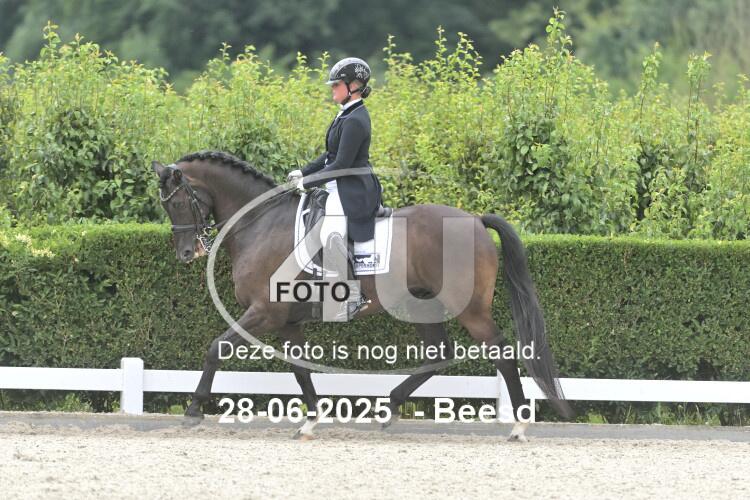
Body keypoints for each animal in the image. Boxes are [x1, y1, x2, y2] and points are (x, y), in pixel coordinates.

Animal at [152, 150, 574, 441]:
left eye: (178, 202)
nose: (187, 253)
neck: (261, 224)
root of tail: (474, 220)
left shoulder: (264, 313)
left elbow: (215, 348)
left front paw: (193, 409)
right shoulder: (286, 322)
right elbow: (300, 369)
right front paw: (311, 421)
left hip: (468, 309)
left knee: (501, 352)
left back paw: (518, 426)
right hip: (422, 304)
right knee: (439, 353)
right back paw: (389, 408)